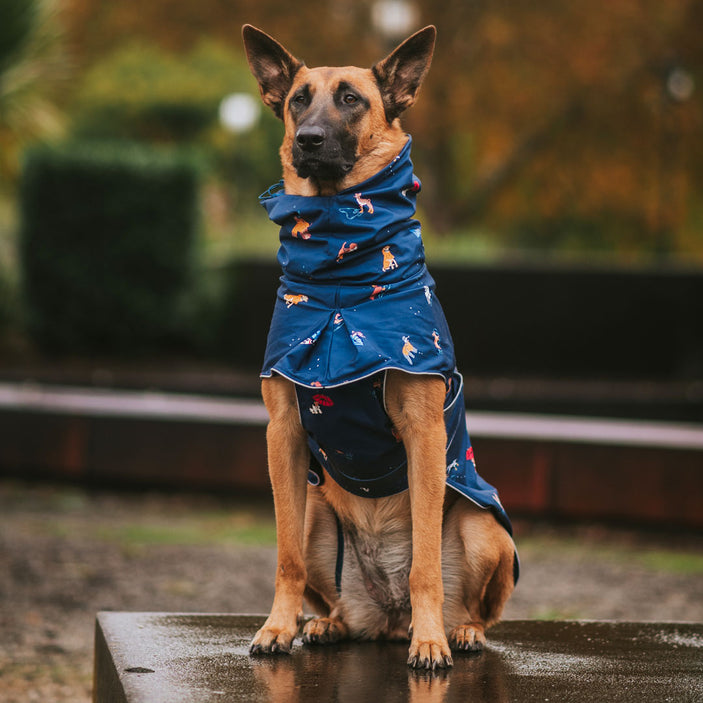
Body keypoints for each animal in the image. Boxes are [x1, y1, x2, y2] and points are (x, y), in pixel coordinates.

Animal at [242, 23, 516, 672]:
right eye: (298, 100)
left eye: (351, 99)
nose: (309, 140)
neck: (340, 281)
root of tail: (385, 619)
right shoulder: (283, 434)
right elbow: (285, 558)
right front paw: (277, 628)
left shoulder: (424, 434)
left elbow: (423, 565)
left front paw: (431, 640)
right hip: (317, 515)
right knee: (333, 596)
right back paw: (327, 625)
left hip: (485, 528)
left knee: (474, 606)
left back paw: (457, 631)